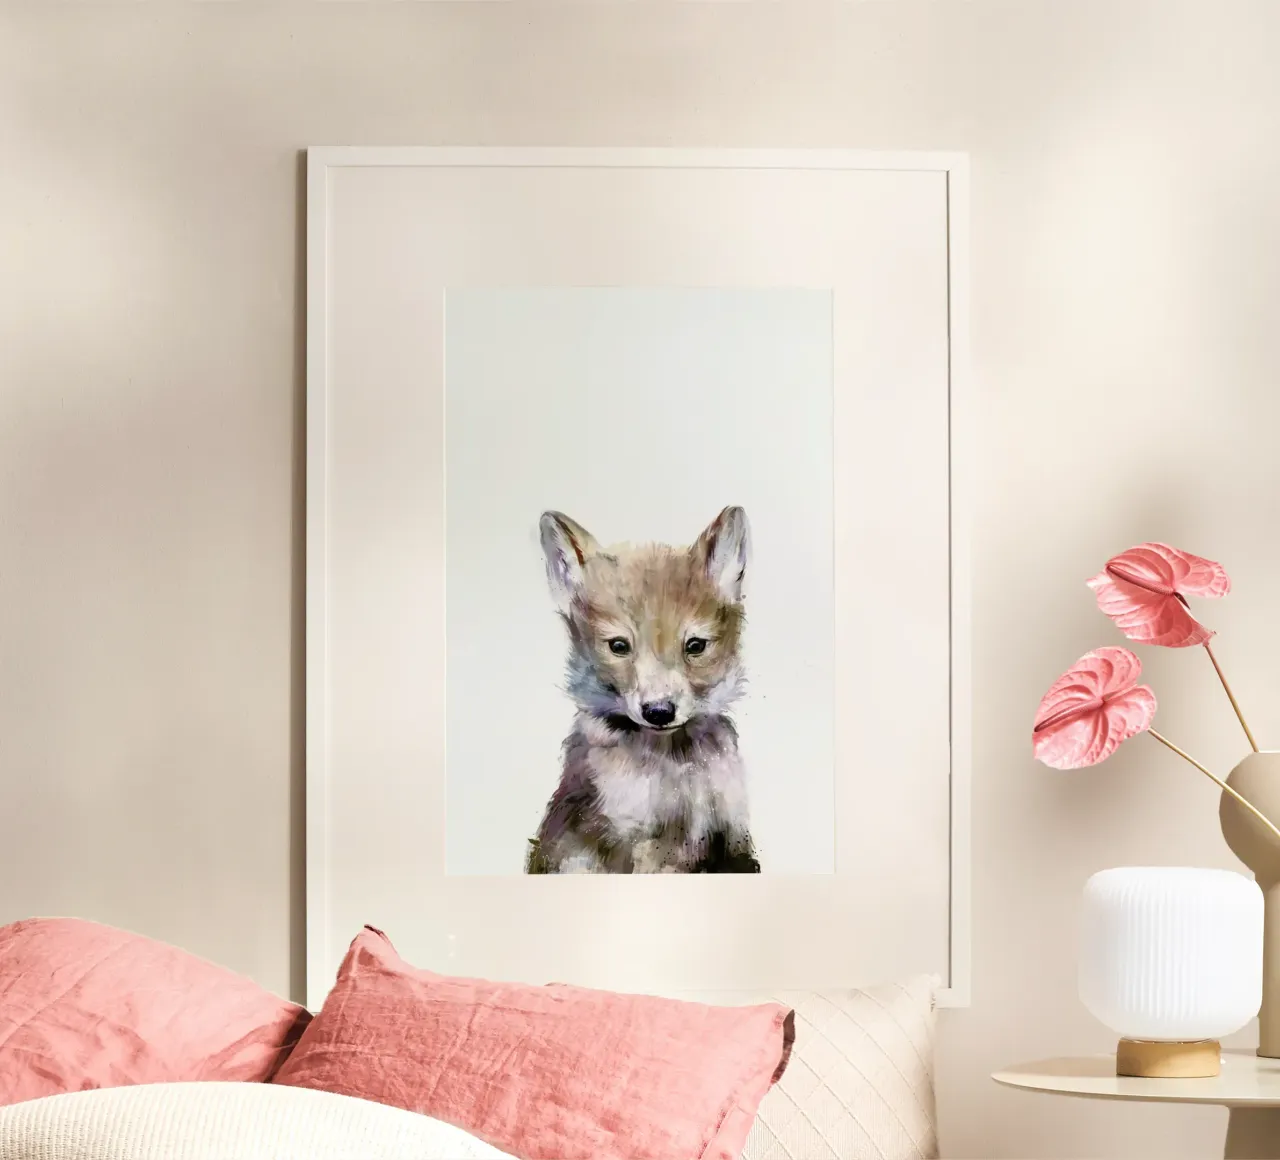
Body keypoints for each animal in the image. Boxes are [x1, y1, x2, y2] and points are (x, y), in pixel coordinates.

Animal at [525, 506, 760, 874]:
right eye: (619, 646)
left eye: (695, 646)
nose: (659, 712)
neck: (674, 763)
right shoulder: (635, 842)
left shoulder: (732, 837)